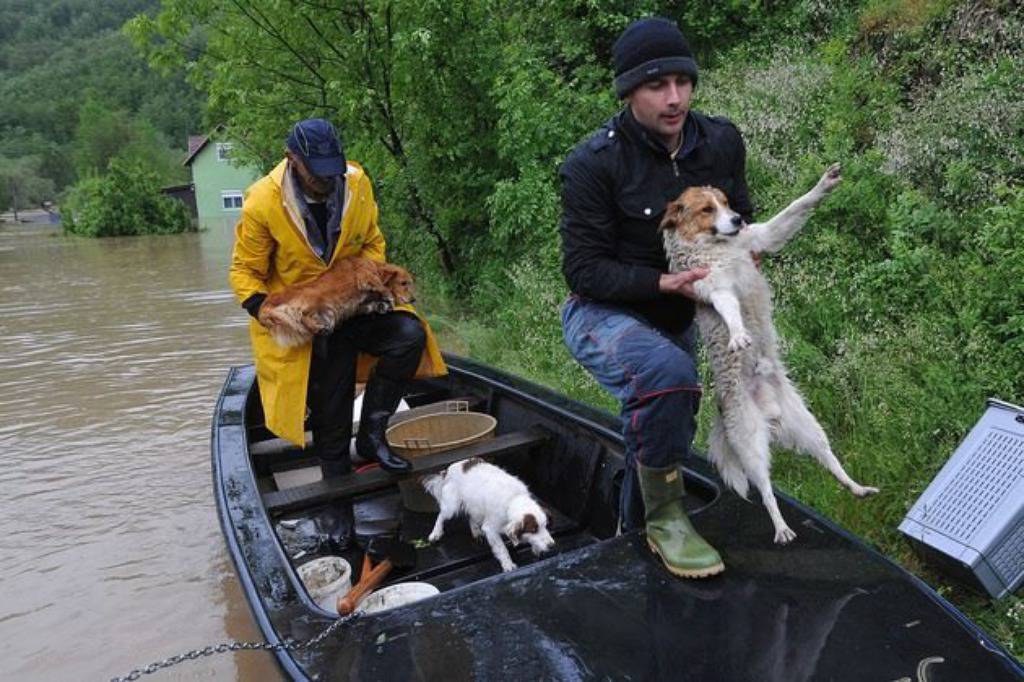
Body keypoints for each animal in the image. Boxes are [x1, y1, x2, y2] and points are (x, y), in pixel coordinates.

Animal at [258, 258, 413, 348]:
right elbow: (382, 286)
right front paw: (389, 297)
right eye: (403, 283)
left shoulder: (361, 306)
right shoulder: (366, 277)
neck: (375, 265)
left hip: (327, 313)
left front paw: (383, 305)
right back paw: (316, 326)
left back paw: (318, 327)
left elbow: (372, 304)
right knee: (302, 316)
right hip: (313, 298)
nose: (413, 300)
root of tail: (270, 300)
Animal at [421, 456, 557, 569]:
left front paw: (537, 549)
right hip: (452, 507)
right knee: (441, 516)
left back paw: (476, 532)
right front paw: (508, 565)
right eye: (533, 530)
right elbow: (502, 549)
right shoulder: (490, 529)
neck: (513, 499)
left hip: (475, 505)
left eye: (546, 526)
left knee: (471, 517)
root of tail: (448, 470)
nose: (552, 545)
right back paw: (435, 533)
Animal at [663, 163, 880, 540]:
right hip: (752, 447)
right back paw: (781, 527)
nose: (737, 219)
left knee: (831, 462)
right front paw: (738, 334)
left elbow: (795, 208)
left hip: (810, 428)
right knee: (765, 491)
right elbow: (730, 311)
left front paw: (824, 185)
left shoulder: (760, 238)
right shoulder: (714, 288)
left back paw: (857, 487)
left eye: (725, 202)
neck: (718, 246)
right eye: (706, 209)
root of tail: (768, 411)